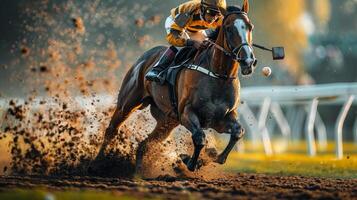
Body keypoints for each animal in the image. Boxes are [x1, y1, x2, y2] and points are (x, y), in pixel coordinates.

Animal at [94, 1, 256, 172]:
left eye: (250, 26)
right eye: (229, 28)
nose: (248, 61)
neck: (218, 75)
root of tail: (144, 58)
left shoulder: (221, 118)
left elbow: (238, 132)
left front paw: (211, 156)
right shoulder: (187, 113)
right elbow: (199, 138)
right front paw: (189, 161)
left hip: (167, 121)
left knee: (145, 144)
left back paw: (138, 171)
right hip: (128, 104)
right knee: (112, 130)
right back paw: (98, 163)